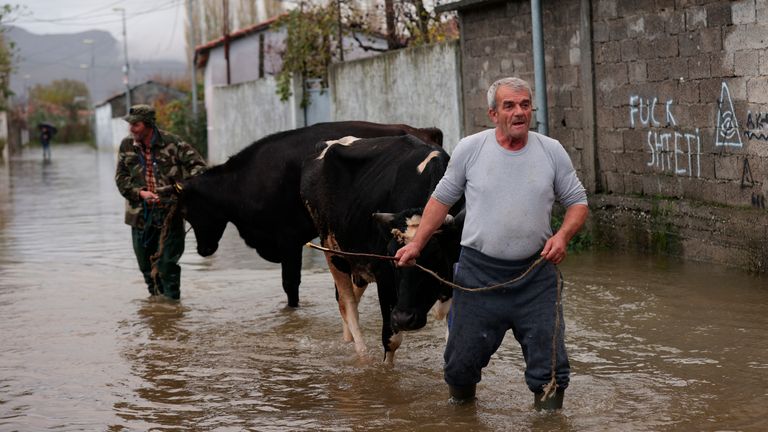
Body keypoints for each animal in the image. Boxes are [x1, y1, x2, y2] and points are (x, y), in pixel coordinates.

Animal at [174, 121, 438, 308]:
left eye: (186, 211)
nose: (202, 250)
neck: (242, 182)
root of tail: (422, 131)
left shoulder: (288, 238)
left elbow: (290, 283)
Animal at [298, 134, 462, 362]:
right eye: (392, 257)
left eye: (435, 255)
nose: (404, 318)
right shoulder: (384, 276)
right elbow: (391, 340)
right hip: (332, 251)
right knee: (347, 305)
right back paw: (362, 355)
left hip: (358, 263)